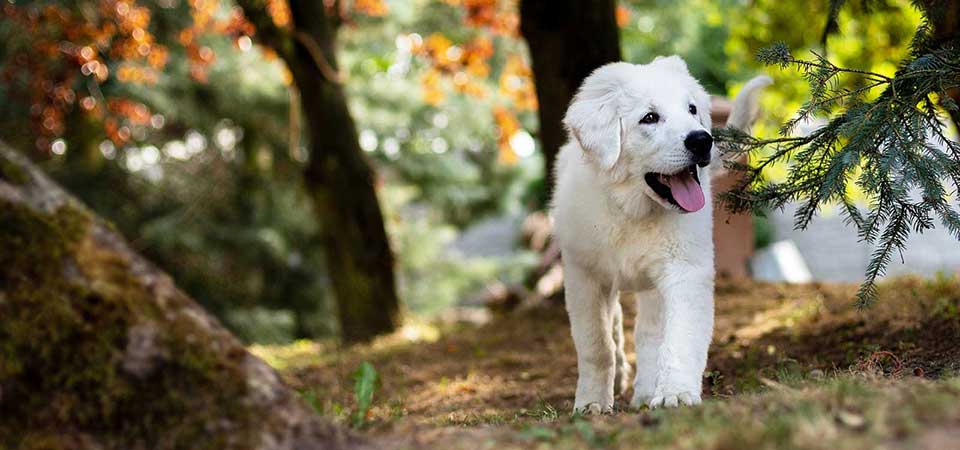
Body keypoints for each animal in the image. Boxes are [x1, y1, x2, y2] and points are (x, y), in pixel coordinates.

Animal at [552, 57, 768, 414]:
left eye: (692, 109)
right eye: (649, 118)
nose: (702, 140)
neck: (632, 210)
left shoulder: (684, 270)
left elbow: (678, 338)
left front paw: (675, 393)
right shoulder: (583, 275)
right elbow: (596, 344)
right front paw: (592, 402)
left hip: (654, 284)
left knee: (649, 333)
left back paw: (645, 392)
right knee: (617, 326)